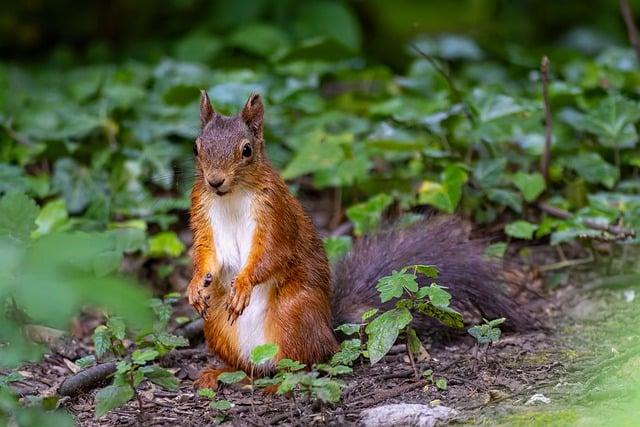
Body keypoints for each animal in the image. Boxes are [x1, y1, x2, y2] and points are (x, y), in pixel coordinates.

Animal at [186, 92, 528, 390]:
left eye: (246, 150)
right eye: (196, 147)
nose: (215, 181)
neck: (232, 197)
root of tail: (330, 330)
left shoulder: (276, 216)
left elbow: (271, 253)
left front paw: (243, 284)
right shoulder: (203, 214)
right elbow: (207, 254)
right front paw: (195, 285)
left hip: (293, 314)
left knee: (308, 363)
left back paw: (281, 383)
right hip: (217, 323)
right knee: (252, 368)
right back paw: (222, 373)